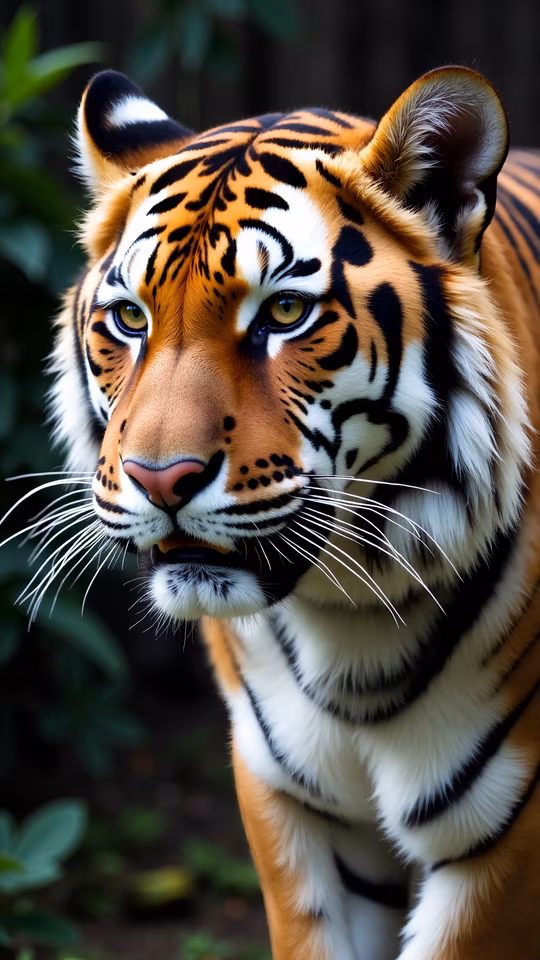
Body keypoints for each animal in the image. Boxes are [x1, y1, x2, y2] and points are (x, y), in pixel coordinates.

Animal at [44, 65, 540, 958]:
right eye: (131, 319)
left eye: (283, 314)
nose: (159, 478)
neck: (350, 629)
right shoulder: (290, 802)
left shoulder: (505, 838)